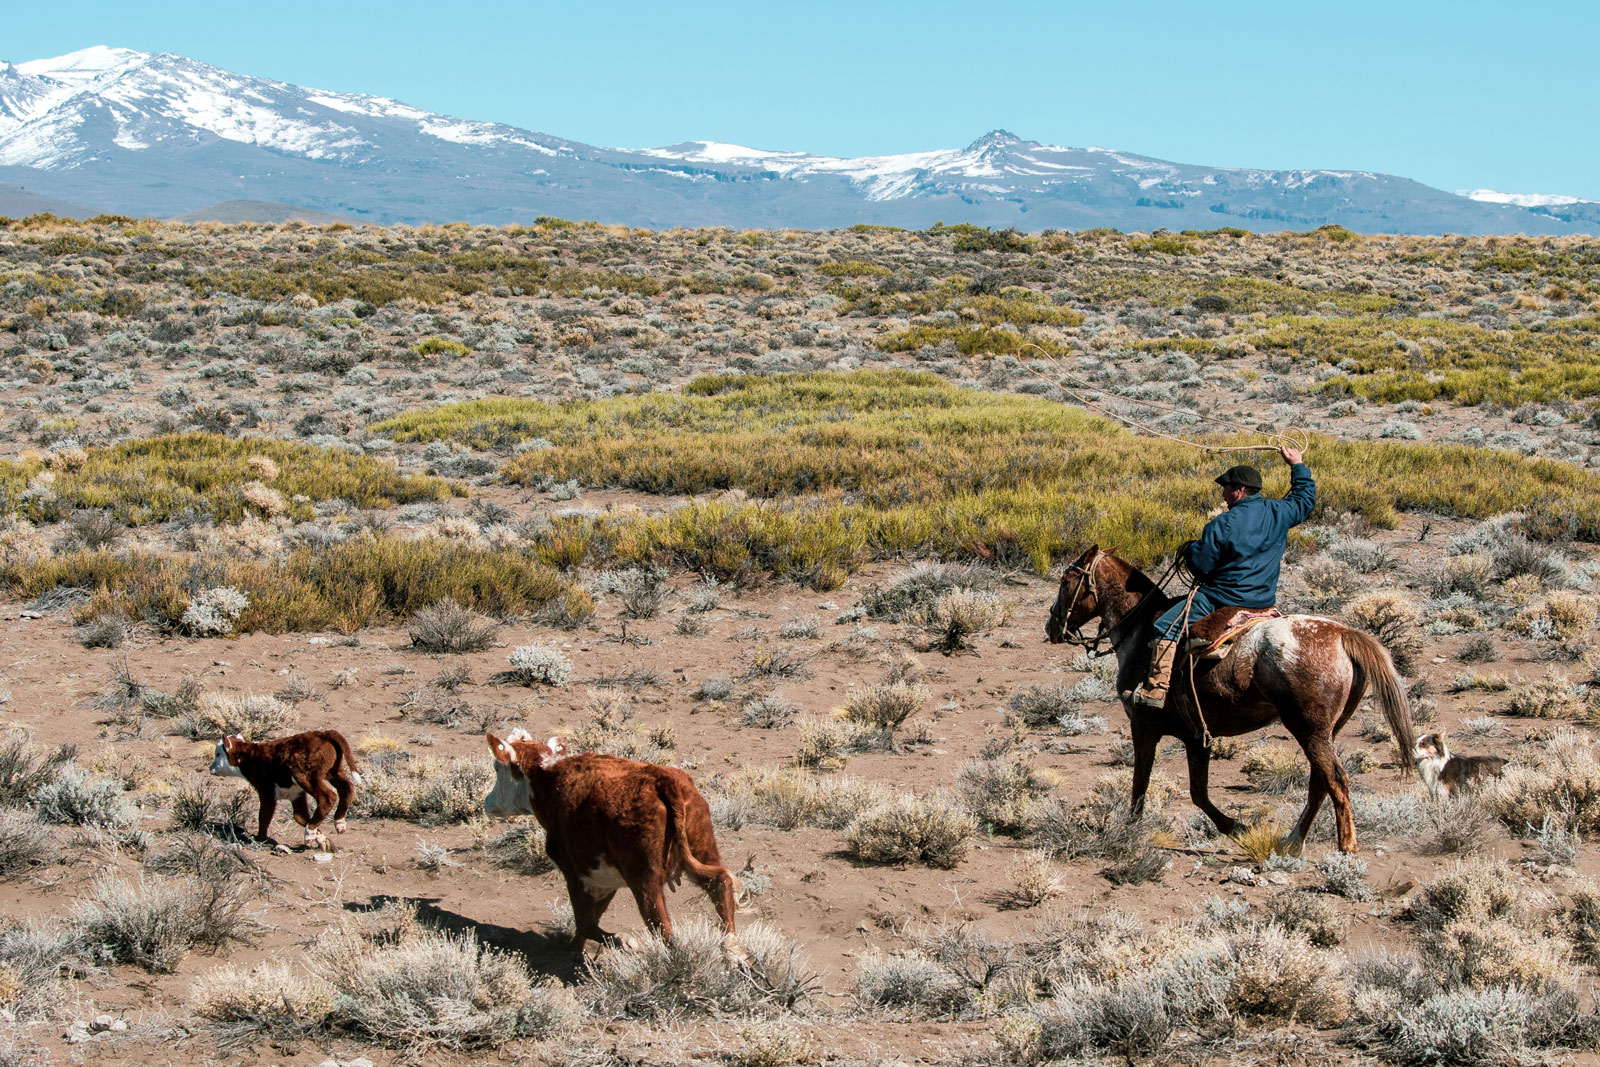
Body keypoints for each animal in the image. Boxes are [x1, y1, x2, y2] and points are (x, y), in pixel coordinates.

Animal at [209, 729, 363, 844]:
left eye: (218, 754)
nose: (211, 768)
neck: (250, 757)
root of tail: (323, 733)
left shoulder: (266, 789)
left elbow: (264, 815)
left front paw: (259, 839)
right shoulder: (296, 794)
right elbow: (299, 816)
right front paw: (320, 838)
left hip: (305, 776)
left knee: (328, 797)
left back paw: (309, 832)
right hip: (333, 771)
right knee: (347, 787)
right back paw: (339, 823)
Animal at [483, 726, 739, 953]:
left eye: (496, 767)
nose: (487, 802)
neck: (550, 777)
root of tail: (662, 779)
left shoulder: (574, 871)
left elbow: (585, 921)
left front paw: (625, 942)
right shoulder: (606, 878)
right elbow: (591, 919)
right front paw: (574, 948)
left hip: (644, 876)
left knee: (662, 927)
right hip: (701, 844)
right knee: (719, 883)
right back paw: (733, 950)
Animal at [1049, 547, 1414, 857]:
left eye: (1066, 581)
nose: (1051, 626)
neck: (1138, 633)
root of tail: (1343, 635)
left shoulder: (1143, 726)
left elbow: (1141, 785)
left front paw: (1130, 833)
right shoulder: (1197, 736)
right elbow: (1198, 792)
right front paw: (1238, 828)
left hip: (1309, 729)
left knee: (1335, 778)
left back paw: (1346, 846)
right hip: (1326, 731)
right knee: (1319, 782)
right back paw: (1293, 841)